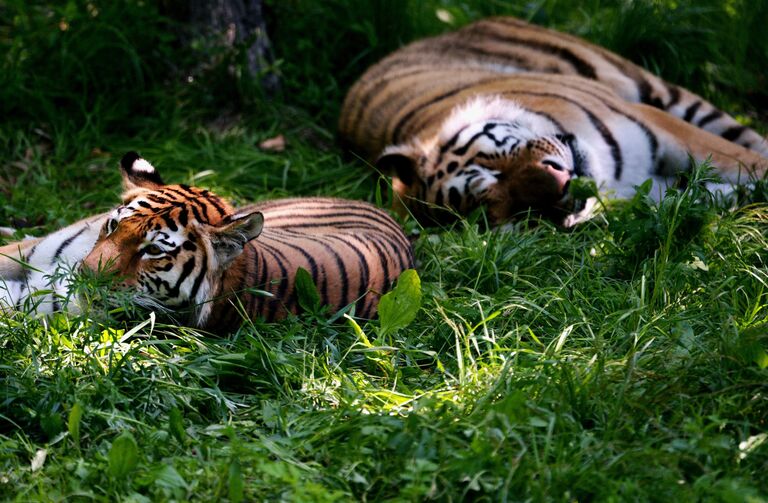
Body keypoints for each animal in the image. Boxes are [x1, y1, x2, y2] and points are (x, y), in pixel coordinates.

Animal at [342, 16, 768, 226]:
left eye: (493, 166)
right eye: (508, 209)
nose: (562, 184)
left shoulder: (662, 126)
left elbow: (751, 162)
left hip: (661, 91)